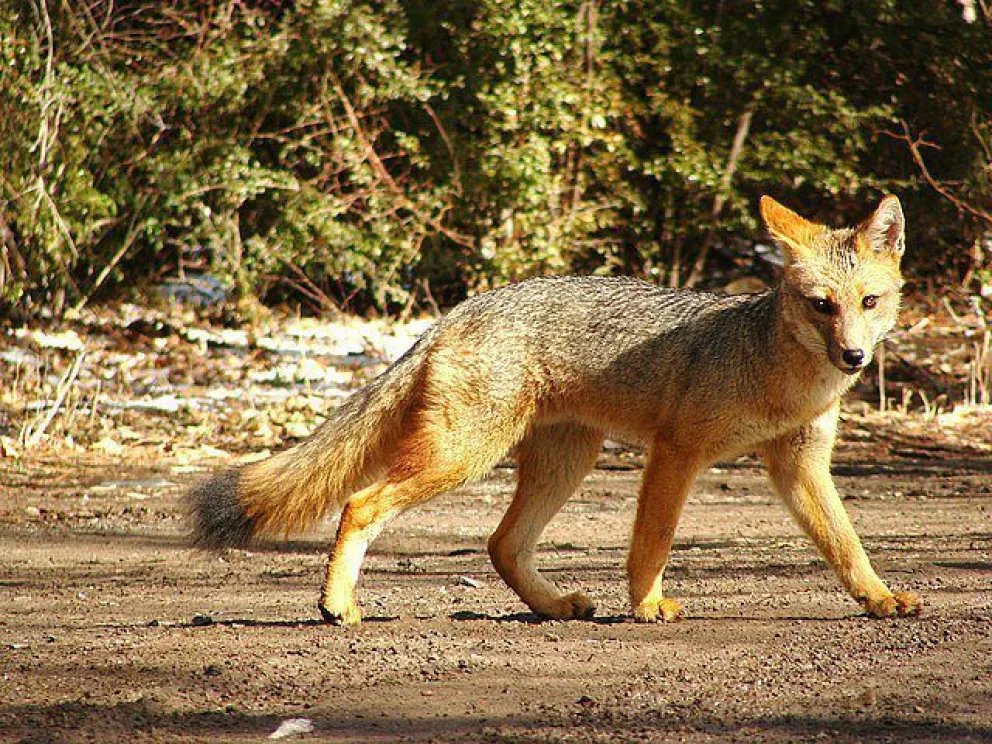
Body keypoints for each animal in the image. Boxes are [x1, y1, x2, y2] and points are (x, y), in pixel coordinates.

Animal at [186, 195, 922, 626]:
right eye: (821, 305)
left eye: (869, 302)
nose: (854, 357)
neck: (780, 374)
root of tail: (461, 308)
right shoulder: (676, 452)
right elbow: (651, 543)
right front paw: (646, 604)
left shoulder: (799, 466)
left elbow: (846, 544)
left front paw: (879, 597)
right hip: (463, 458)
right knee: (361, 503)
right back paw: (338, 604)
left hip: (564, 463)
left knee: (501, 544)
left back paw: (554, 606)